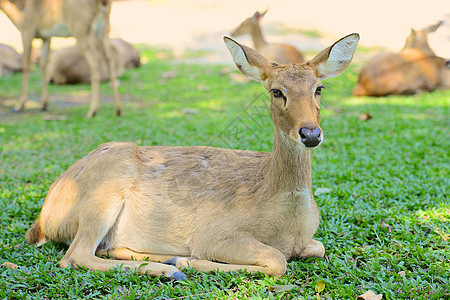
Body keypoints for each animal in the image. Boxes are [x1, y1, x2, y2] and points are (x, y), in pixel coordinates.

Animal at [24, 32, 360, 278]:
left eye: (319, 88)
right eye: (277, 91)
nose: (310, 134)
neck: (290, 222)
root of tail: (43, 219)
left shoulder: (308, 240)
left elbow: (318, 247)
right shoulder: (216, 233)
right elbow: (278, 261)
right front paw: (190, 262)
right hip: (102, 194)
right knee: (75, 255)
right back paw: (171, 267)